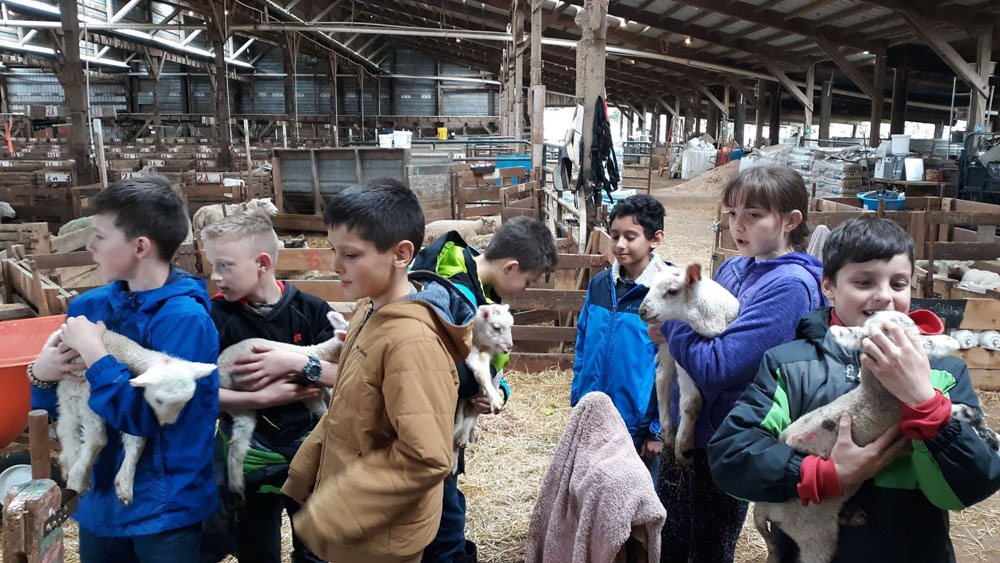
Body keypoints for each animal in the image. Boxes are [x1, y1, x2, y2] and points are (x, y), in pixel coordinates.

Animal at [53, 328, 217, 504]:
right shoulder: (93, 397)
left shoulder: (127, 409)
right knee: (81, 434)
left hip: (69, 397)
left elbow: (137, 438)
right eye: (159, 400)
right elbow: (102, 438)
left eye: (185, 401)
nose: (167, 424)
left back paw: (70, 466)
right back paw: (75, 475)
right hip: (78, 395)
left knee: (66, 428)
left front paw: (124, 484)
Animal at [217, 310, 350, 500]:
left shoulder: (321, 389)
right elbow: (320, 411)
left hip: (240, 405)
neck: (320, 354)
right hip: (240, 390)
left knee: (237, 443)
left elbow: (329, 396)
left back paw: (238, 488)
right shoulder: (311, 396)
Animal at [454, 304, 516, 476]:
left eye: (511, 326)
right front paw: (495, 399)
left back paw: (462, 437)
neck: (479, 341)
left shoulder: (486, 353)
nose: (509, 347)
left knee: (470, 419)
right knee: (460, 420)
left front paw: (495, 400)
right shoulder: (471, 353)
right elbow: (481, 373)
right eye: (496, 328)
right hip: (462, 401)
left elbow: (485, 373)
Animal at [636, 264, 740, 468]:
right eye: (650, 286)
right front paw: (684, 449)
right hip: (668, 346)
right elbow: (692, 400)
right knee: (662, 378)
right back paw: (668, 431)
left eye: (672, 291)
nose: (642, 311)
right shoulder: (683, 357)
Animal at [752, 310, 996, 563]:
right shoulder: (908, 417)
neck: (874, 393)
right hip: (813, 534)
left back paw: (852, 515)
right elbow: (959, 411)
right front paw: (990, 437)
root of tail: (762, 508)